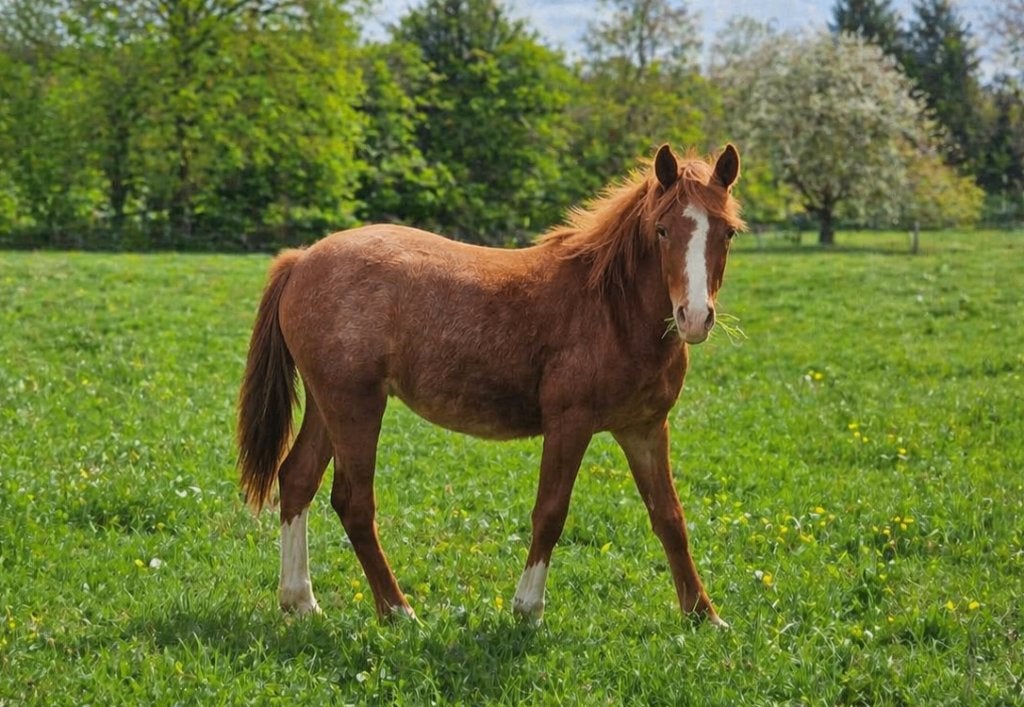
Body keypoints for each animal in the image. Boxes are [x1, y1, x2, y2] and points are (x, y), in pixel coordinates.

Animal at [237, 142, 744, 626]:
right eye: (662, 230)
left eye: (728, 232)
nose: (694, 317)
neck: (611, 309)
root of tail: (302, 260)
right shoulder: (570, 424)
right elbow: (550, 512)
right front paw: (528, 609)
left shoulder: (644, 428)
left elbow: (669, 517)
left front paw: (704, 615)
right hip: (355, 406)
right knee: (353, 501)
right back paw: (398, 611)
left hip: (328, 405)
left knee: (297, 479)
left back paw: (301, 602)